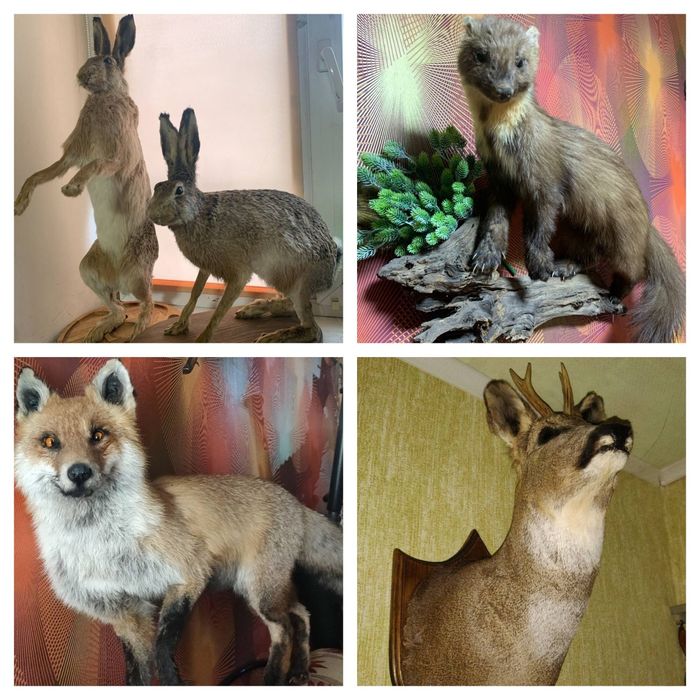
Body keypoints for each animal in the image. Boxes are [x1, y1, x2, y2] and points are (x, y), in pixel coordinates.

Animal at [14, 15, 158, 342]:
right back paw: (99, 330)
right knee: (119, 309)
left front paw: (71, 188)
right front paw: (19, 205)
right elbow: (41, 173)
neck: (104, 97)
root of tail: (117, 277)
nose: (81, 75)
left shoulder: (117, 158)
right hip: (88, 269)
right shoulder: (70, 155)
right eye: (90, 59)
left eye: (107, 60)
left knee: (147, 300)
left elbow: (94, 165)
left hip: (136, 274)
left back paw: (138, 331)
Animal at [14, 359, 343, 686]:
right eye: (49, 442)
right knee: (301, 613)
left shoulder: (190, 575)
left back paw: (274, 678)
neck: (103, 545)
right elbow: (136, 672)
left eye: (98, 435)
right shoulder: (122, 609)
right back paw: (299, 669)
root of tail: (294, 502)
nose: (79, 472)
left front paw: (173, 681)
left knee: (284, 627)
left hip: (259, 591)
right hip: (263, 590)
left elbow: (163, 649)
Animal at [147, 108, 340, 343]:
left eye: (179, 191)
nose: (153, 214)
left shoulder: (238, 273)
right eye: (157, 187)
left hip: (297, 282)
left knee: (312, 329)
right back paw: (253, 310)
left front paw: (202, 339)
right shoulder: (206, 267)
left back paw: (270, 337)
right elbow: (195, 292)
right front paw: (178, 326)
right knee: (291, 308)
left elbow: (220, 309)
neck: (200, 213)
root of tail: (331, 269)